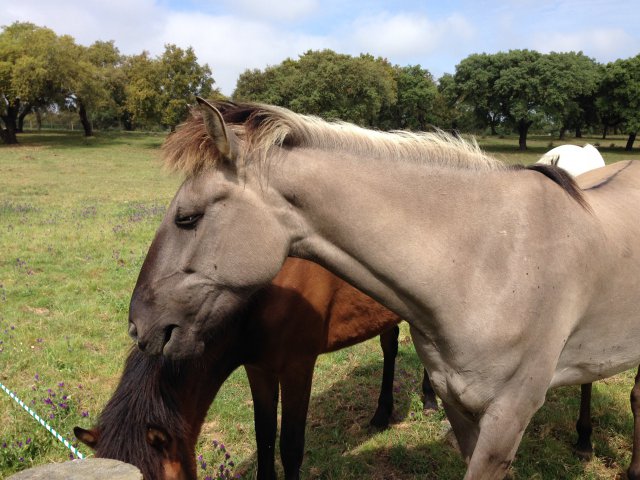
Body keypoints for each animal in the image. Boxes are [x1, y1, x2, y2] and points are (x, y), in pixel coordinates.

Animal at [74, 258, 436, 480]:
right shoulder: (258, 367)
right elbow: (264, 438)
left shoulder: (297, 367)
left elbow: (290, 447)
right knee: (390, 346)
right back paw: (382, 413)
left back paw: (430, 400)